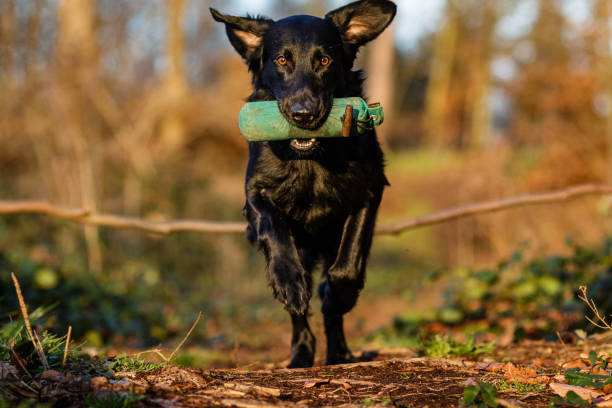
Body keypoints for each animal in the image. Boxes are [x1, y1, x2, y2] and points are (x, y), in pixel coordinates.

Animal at [212, 0, 396, 368]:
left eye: (324, 61)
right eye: (282, 61)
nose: (303, 114)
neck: (311, 158)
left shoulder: (369, 189)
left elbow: (348, 264)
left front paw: (338, 295)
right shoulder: (254, 194)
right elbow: (273, 226)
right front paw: (288, 281)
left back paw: (338, 351)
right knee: (299, 313)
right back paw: (300, 352)